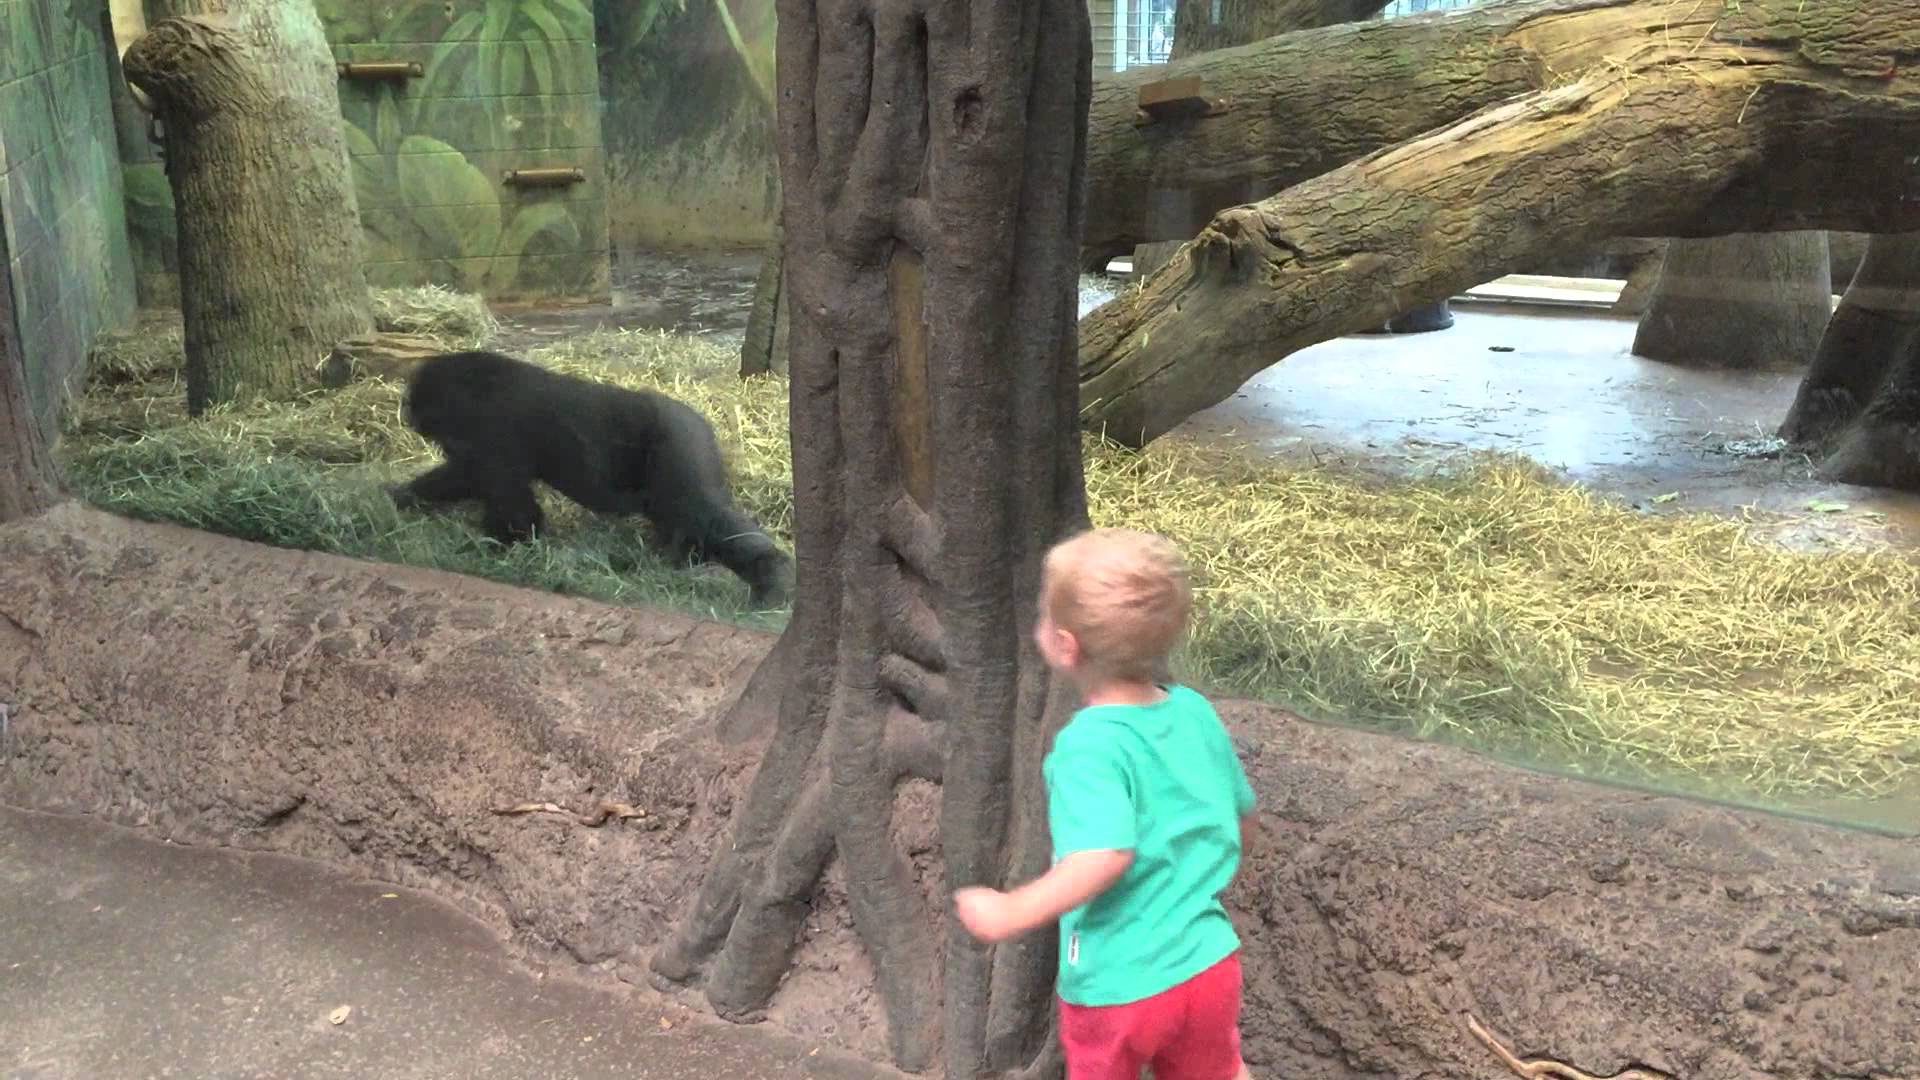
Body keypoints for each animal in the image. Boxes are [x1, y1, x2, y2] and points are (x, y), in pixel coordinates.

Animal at [389, 351, 794, 607]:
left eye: (416, 403)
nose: (408, 414)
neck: (468, 388)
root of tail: (705, 422)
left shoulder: (491, 432)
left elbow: (515, 510)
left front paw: (491, 551)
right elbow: (462, 479)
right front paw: (399, 497)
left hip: (680, 445)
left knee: (701, 512)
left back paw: (772, 577)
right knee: (684, 522)